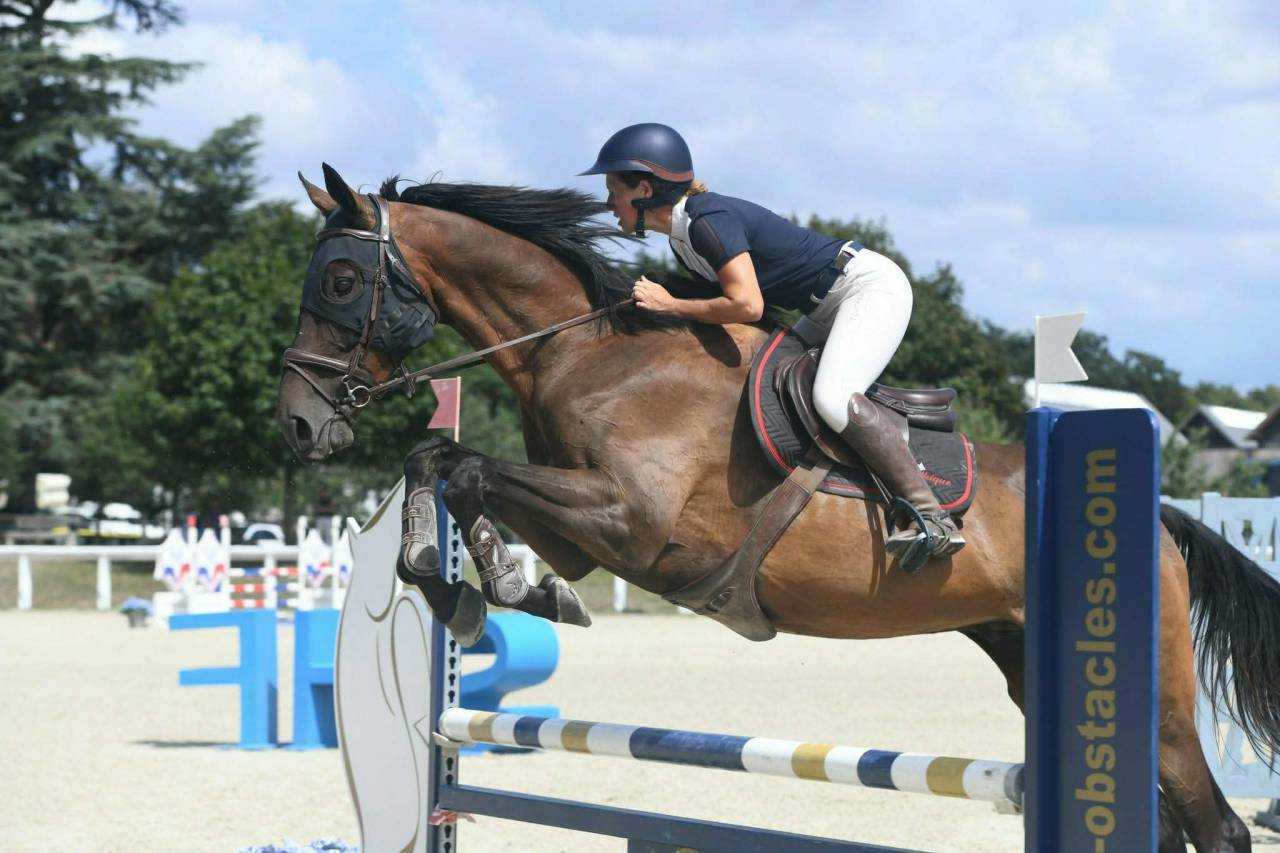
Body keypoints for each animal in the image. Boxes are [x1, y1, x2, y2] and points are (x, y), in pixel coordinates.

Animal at [276, 164, 1280, 853]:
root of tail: (1160, 518)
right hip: (1026, 658)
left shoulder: (631, 523)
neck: (588, 352)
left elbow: (472, 472)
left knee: (1218, 825)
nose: (298, 423)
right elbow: (443, 462)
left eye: (339, 282)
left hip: (1158, 692)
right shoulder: (583, 534)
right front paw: (471, 584)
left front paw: (477, 589)